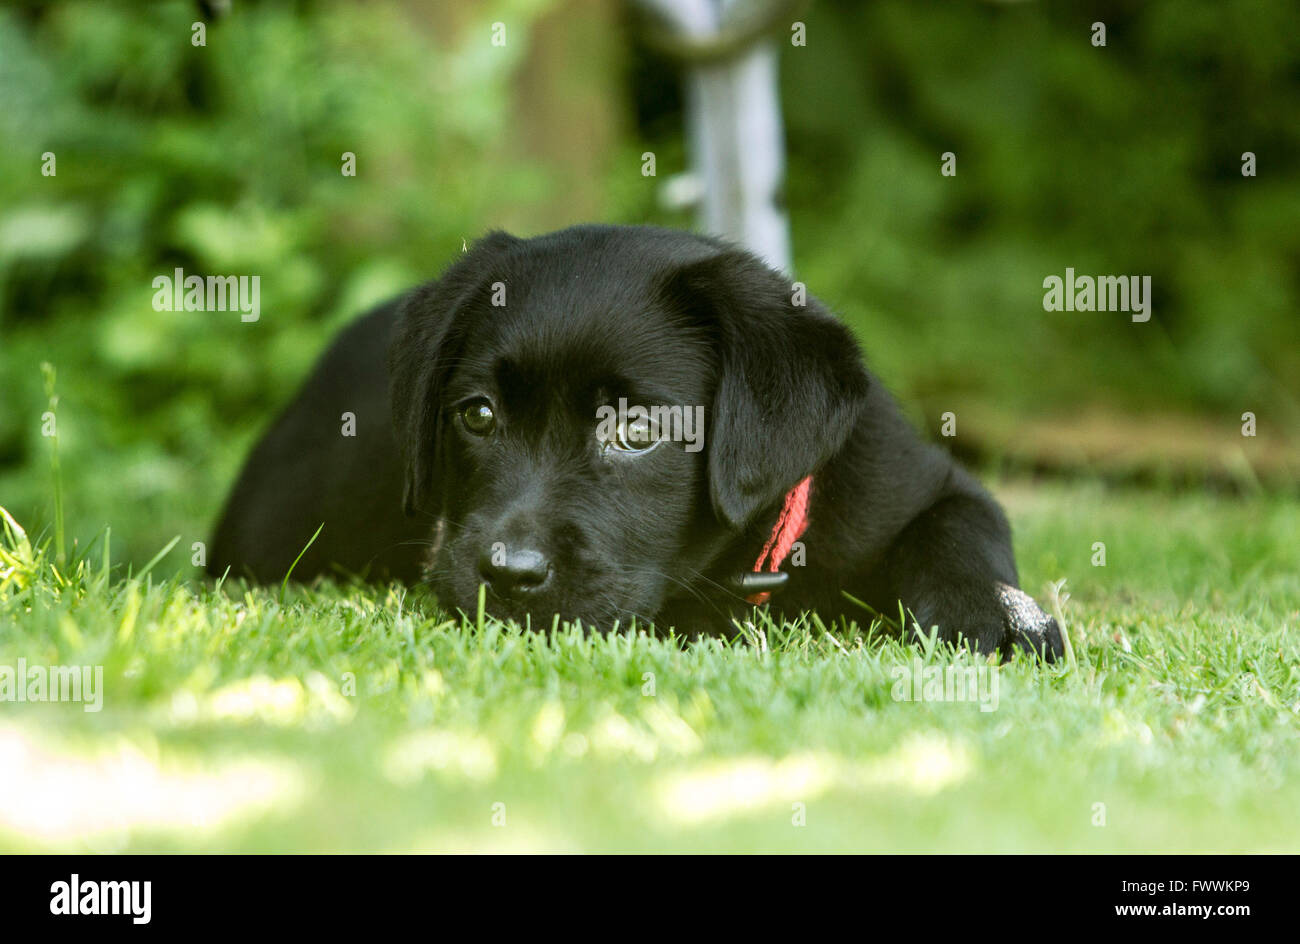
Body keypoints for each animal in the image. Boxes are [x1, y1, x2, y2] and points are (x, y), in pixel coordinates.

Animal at [213, 224, 1060, 663]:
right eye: (477, 416)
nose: (507, 574)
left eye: (637, 430)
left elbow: (961, 530)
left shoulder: (929, 483)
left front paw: (1003, 615)